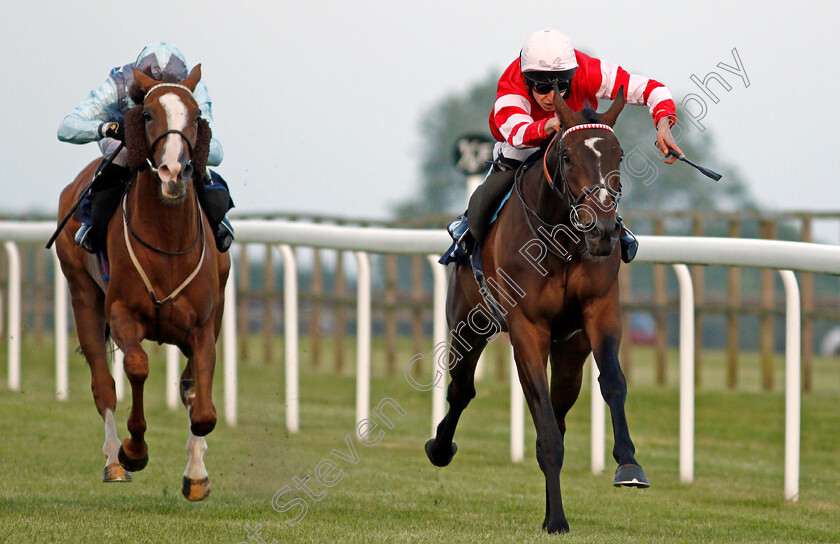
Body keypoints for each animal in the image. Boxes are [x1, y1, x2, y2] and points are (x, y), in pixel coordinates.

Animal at [55, 65, 230, 502]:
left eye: (197, 117)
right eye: (148, 115)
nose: (174, 172)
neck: (167, 241)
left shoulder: (204, 325)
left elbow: (200, 405)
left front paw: (196, 475)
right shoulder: (122, 313)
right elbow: (136, 366)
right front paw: (133, 450)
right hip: (83, 296)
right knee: (104, 385)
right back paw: (114, 462)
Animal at [424, 88, 648, 532]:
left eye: (617, 154)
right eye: (567, 156)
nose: (601, 229)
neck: (560, 237)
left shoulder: (599, 311)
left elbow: (613, 382)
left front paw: (628, 463)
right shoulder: (527, 329)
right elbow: (544, 428)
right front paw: (558, 519)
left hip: (569, 351)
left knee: (558, 410)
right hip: (467, 326)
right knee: (462, 390)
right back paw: (440, 447)